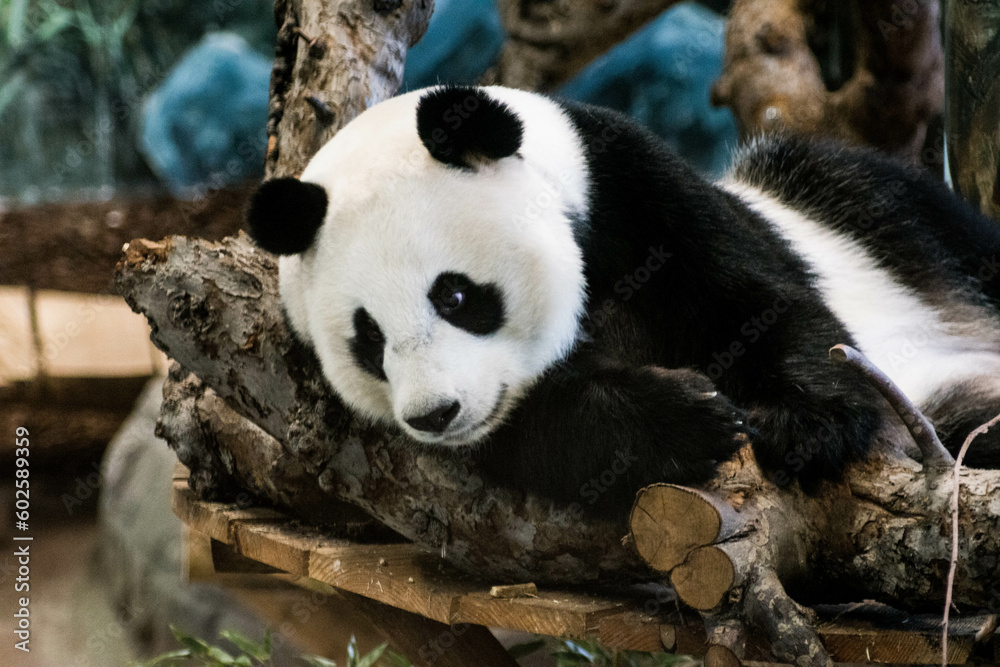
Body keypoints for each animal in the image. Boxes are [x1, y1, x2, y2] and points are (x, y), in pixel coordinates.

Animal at [246, 85, 1000, 517]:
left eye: (455, 294)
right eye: (368, 339)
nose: (436, 414)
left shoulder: (632, 190)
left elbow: (761, 301)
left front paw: (799, 424)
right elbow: (548, 433)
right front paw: (689, 417)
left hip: (868, 215)